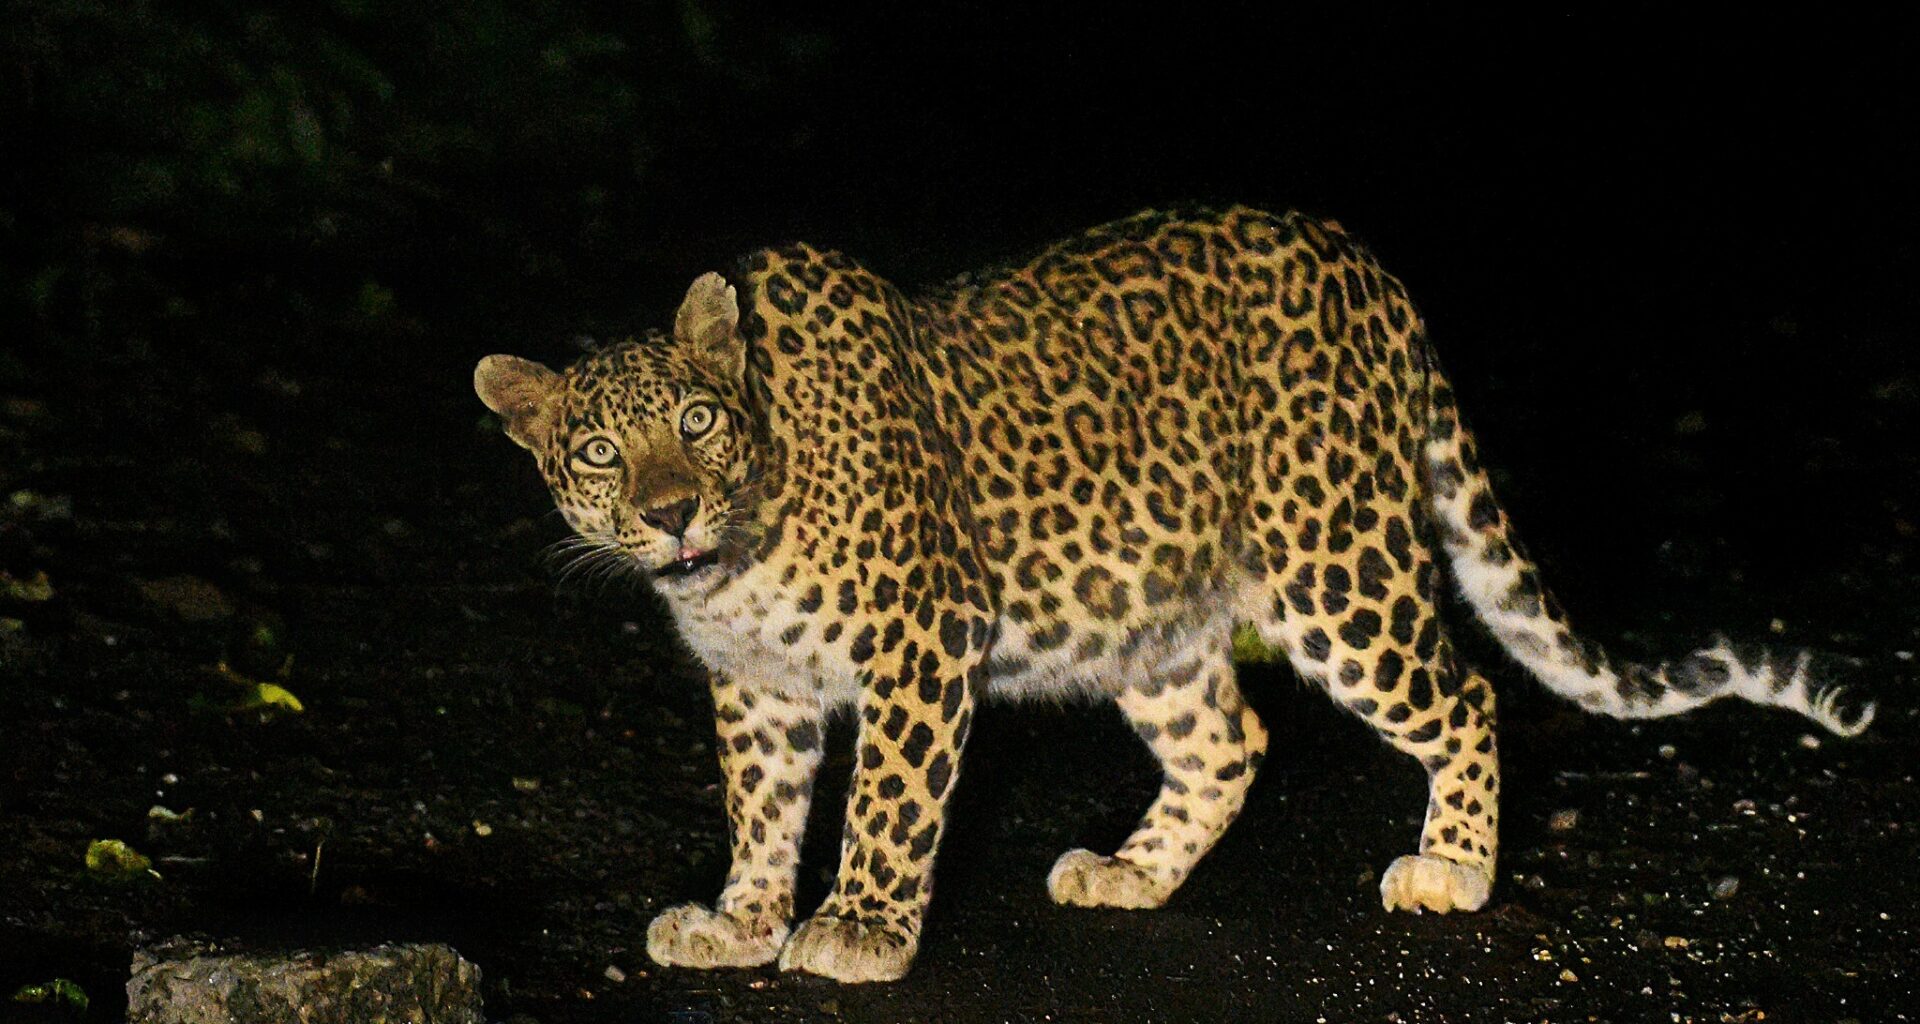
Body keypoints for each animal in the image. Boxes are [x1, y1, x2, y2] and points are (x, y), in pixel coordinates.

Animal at [473, 206, 1875, 983]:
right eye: (596, 452)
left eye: (699, 422)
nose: (670, 512)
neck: (745, 543)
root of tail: (1368, 267)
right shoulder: (758, 688)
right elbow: (763, 810)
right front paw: (740, 920)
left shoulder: (921, 641)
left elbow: (888, 803)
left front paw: (860, 929)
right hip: (1148, 612)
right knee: (1227, 742)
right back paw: (1132, 874)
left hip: (1336, 563)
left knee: (1467, 694)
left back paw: (1452, 869)